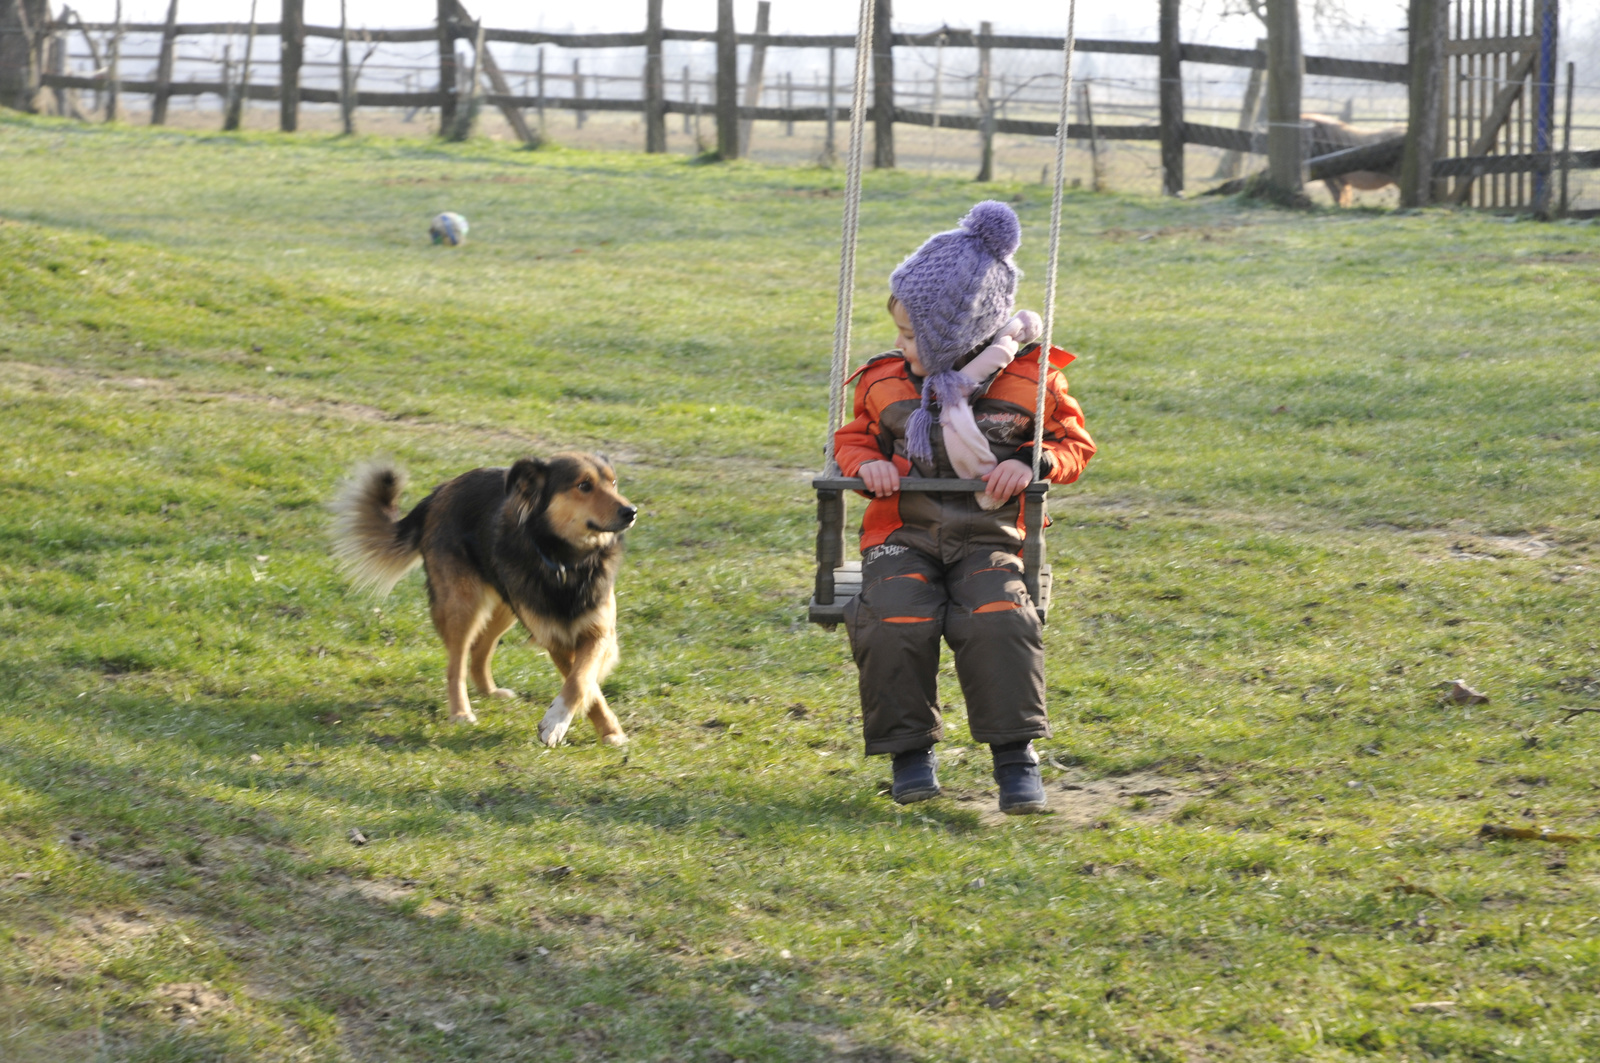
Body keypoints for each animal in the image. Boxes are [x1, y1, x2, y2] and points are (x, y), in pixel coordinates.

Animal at [332, 451, 636, 746]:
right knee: (456, 664)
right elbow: (580, 681)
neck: (568, 562)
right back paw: (461, 712)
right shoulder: (555, 637)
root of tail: (438, 492)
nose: (631, 511)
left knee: (480, 648)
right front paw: (559, 724)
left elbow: (582, 680)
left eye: (613, 483)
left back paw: (489, 691)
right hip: (463, 603)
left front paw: (607, 731)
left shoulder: (598, 631)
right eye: (584, 485)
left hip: (506, 605)